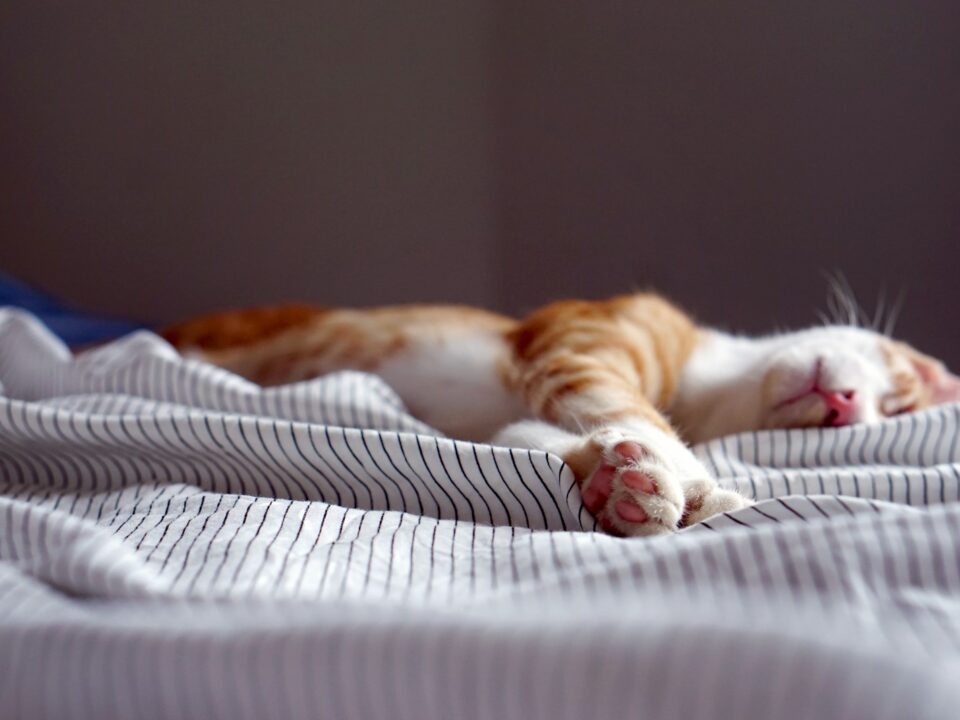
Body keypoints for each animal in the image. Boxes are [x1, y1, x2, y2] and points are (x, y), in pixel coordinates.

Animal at [163, 292, 960, 536]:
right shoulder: (577, 344)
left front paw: (621, 484)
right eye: (899, 391)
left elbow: (540, 434)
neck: (701, 391)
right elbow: (632, 412)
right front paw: (688, 487)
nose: (848, 409)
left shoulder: (516, 418)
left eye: (890, 412)